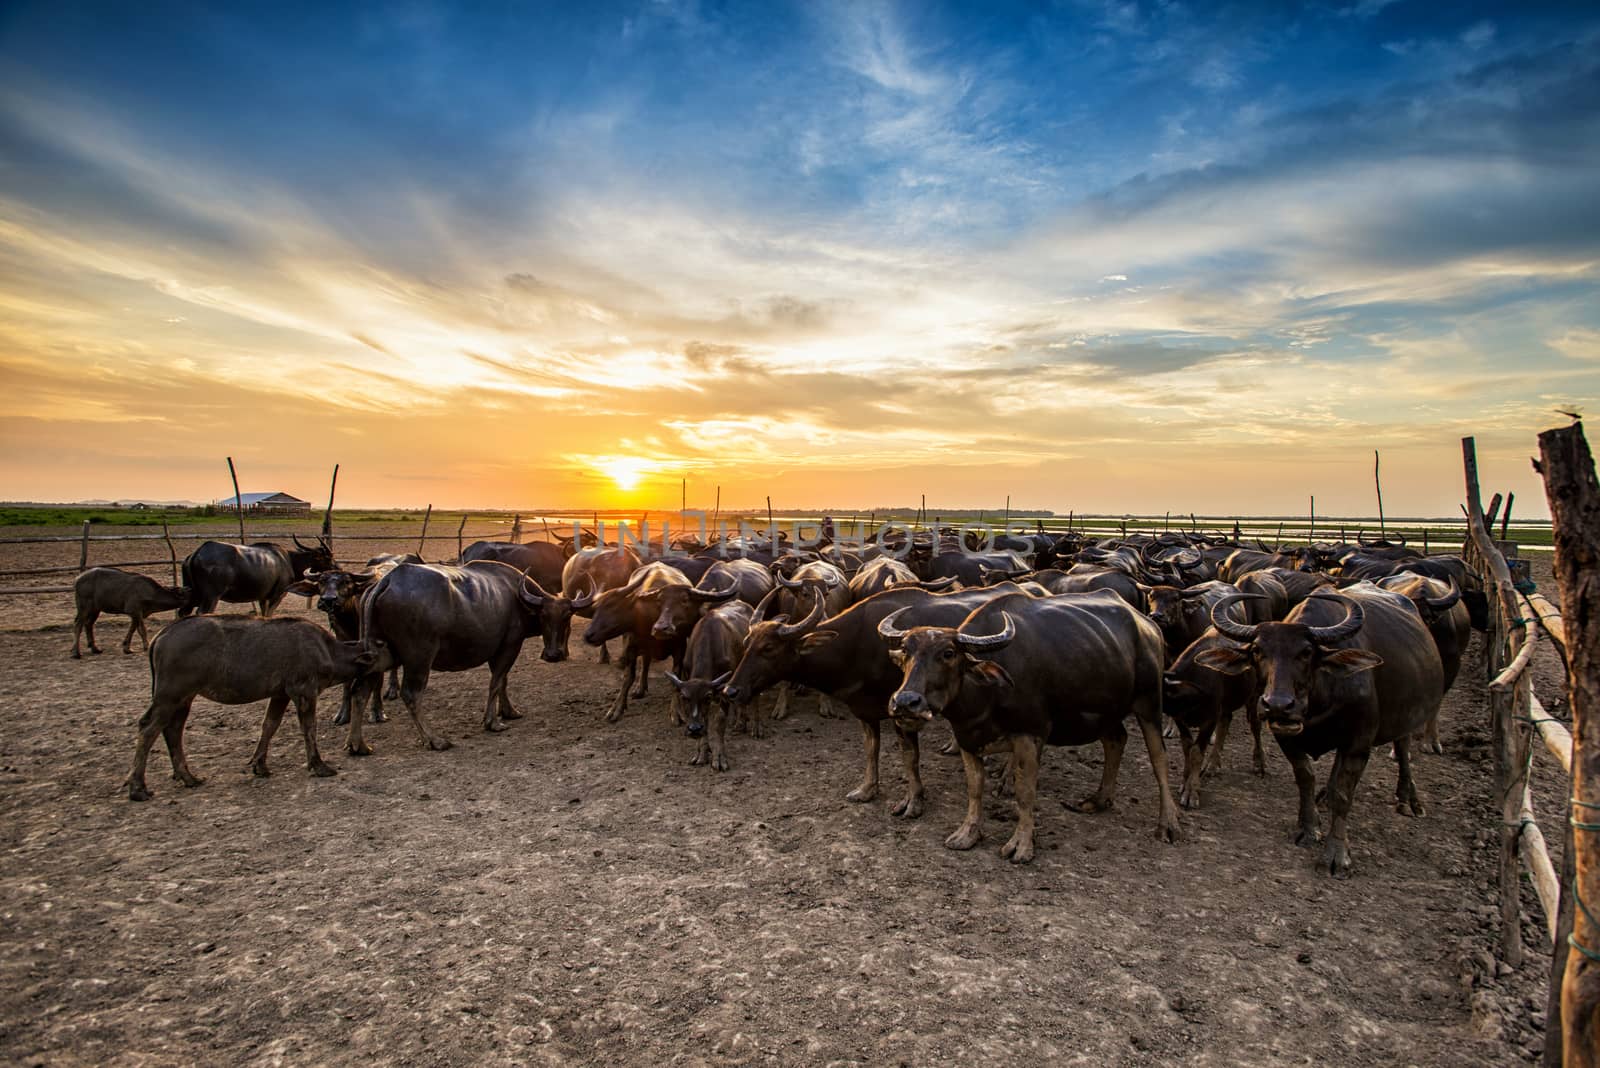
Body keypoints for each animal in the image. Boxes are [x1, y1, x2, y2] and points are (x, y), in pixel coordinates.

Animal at [126, 613, 376, 796]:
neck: (327, 650)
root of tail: (162, 635)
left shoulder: (280, 694)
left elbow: (269, 725)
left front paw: (260, 764)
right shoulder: (304, 691)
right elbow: (309, 728)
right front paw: (318, 765)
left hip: (183, 698)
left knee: (173, 730)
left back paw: (187, 776)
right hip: (171, 696)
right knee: (149, 729)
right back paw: (137, 786)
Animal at [344, 562, 588, 754]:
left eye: (567, 616)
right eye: (543, 615)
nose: (553, 655)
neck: (517, 599)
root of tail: (387, 580)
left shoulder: (499, 649)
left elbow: (503, 682)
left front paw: (509, 712)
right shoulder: (509, 646)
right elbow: (496, 682)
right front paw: (493, 722)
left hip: (377, 655)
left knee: (360, 691)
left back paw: (358, 744)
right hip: (419, 657)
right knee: (411, 694)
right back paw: (434, 740)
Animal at [668, 601, 755, 767]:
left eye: (707, 697)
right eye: (684, 698)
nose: (694, 729)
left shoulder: (724, 689)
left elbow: (719, 723)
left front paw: (719, 757)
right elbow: (706, 721)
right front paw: (702, 753)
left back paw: (740, 722)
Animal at [876, 588, 1177, 863]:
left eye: (948, 653)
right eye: (906, 651)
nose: (905, 702)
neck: (987, 694)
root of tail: (1149, 627)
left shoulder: (1030, 735)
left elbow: (1024, 793)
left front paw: (1021, 845)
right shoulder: (967, 738)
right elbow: (975, 787)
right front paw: (967, 834)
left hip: (1149, 702)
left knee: (1159, 758)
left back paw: (1168, 824)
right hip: (1105, 712)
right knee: (1116, 740)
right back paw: (1099, 799)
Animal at [1203, 585, 1452, 876]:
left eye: (1307, 652)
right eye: (1257, 650)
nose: (1278, 705)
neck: (1318, 699)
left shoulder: (1358, 743)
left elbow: (1345, 796)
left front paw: (1337, 854)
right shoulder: (1287, 738)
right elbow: (1305, 778)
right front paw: (1309, 827)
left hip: (1406, 714)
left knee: (1402, 750)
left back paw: (1408, 800)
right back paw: (1327, 795)